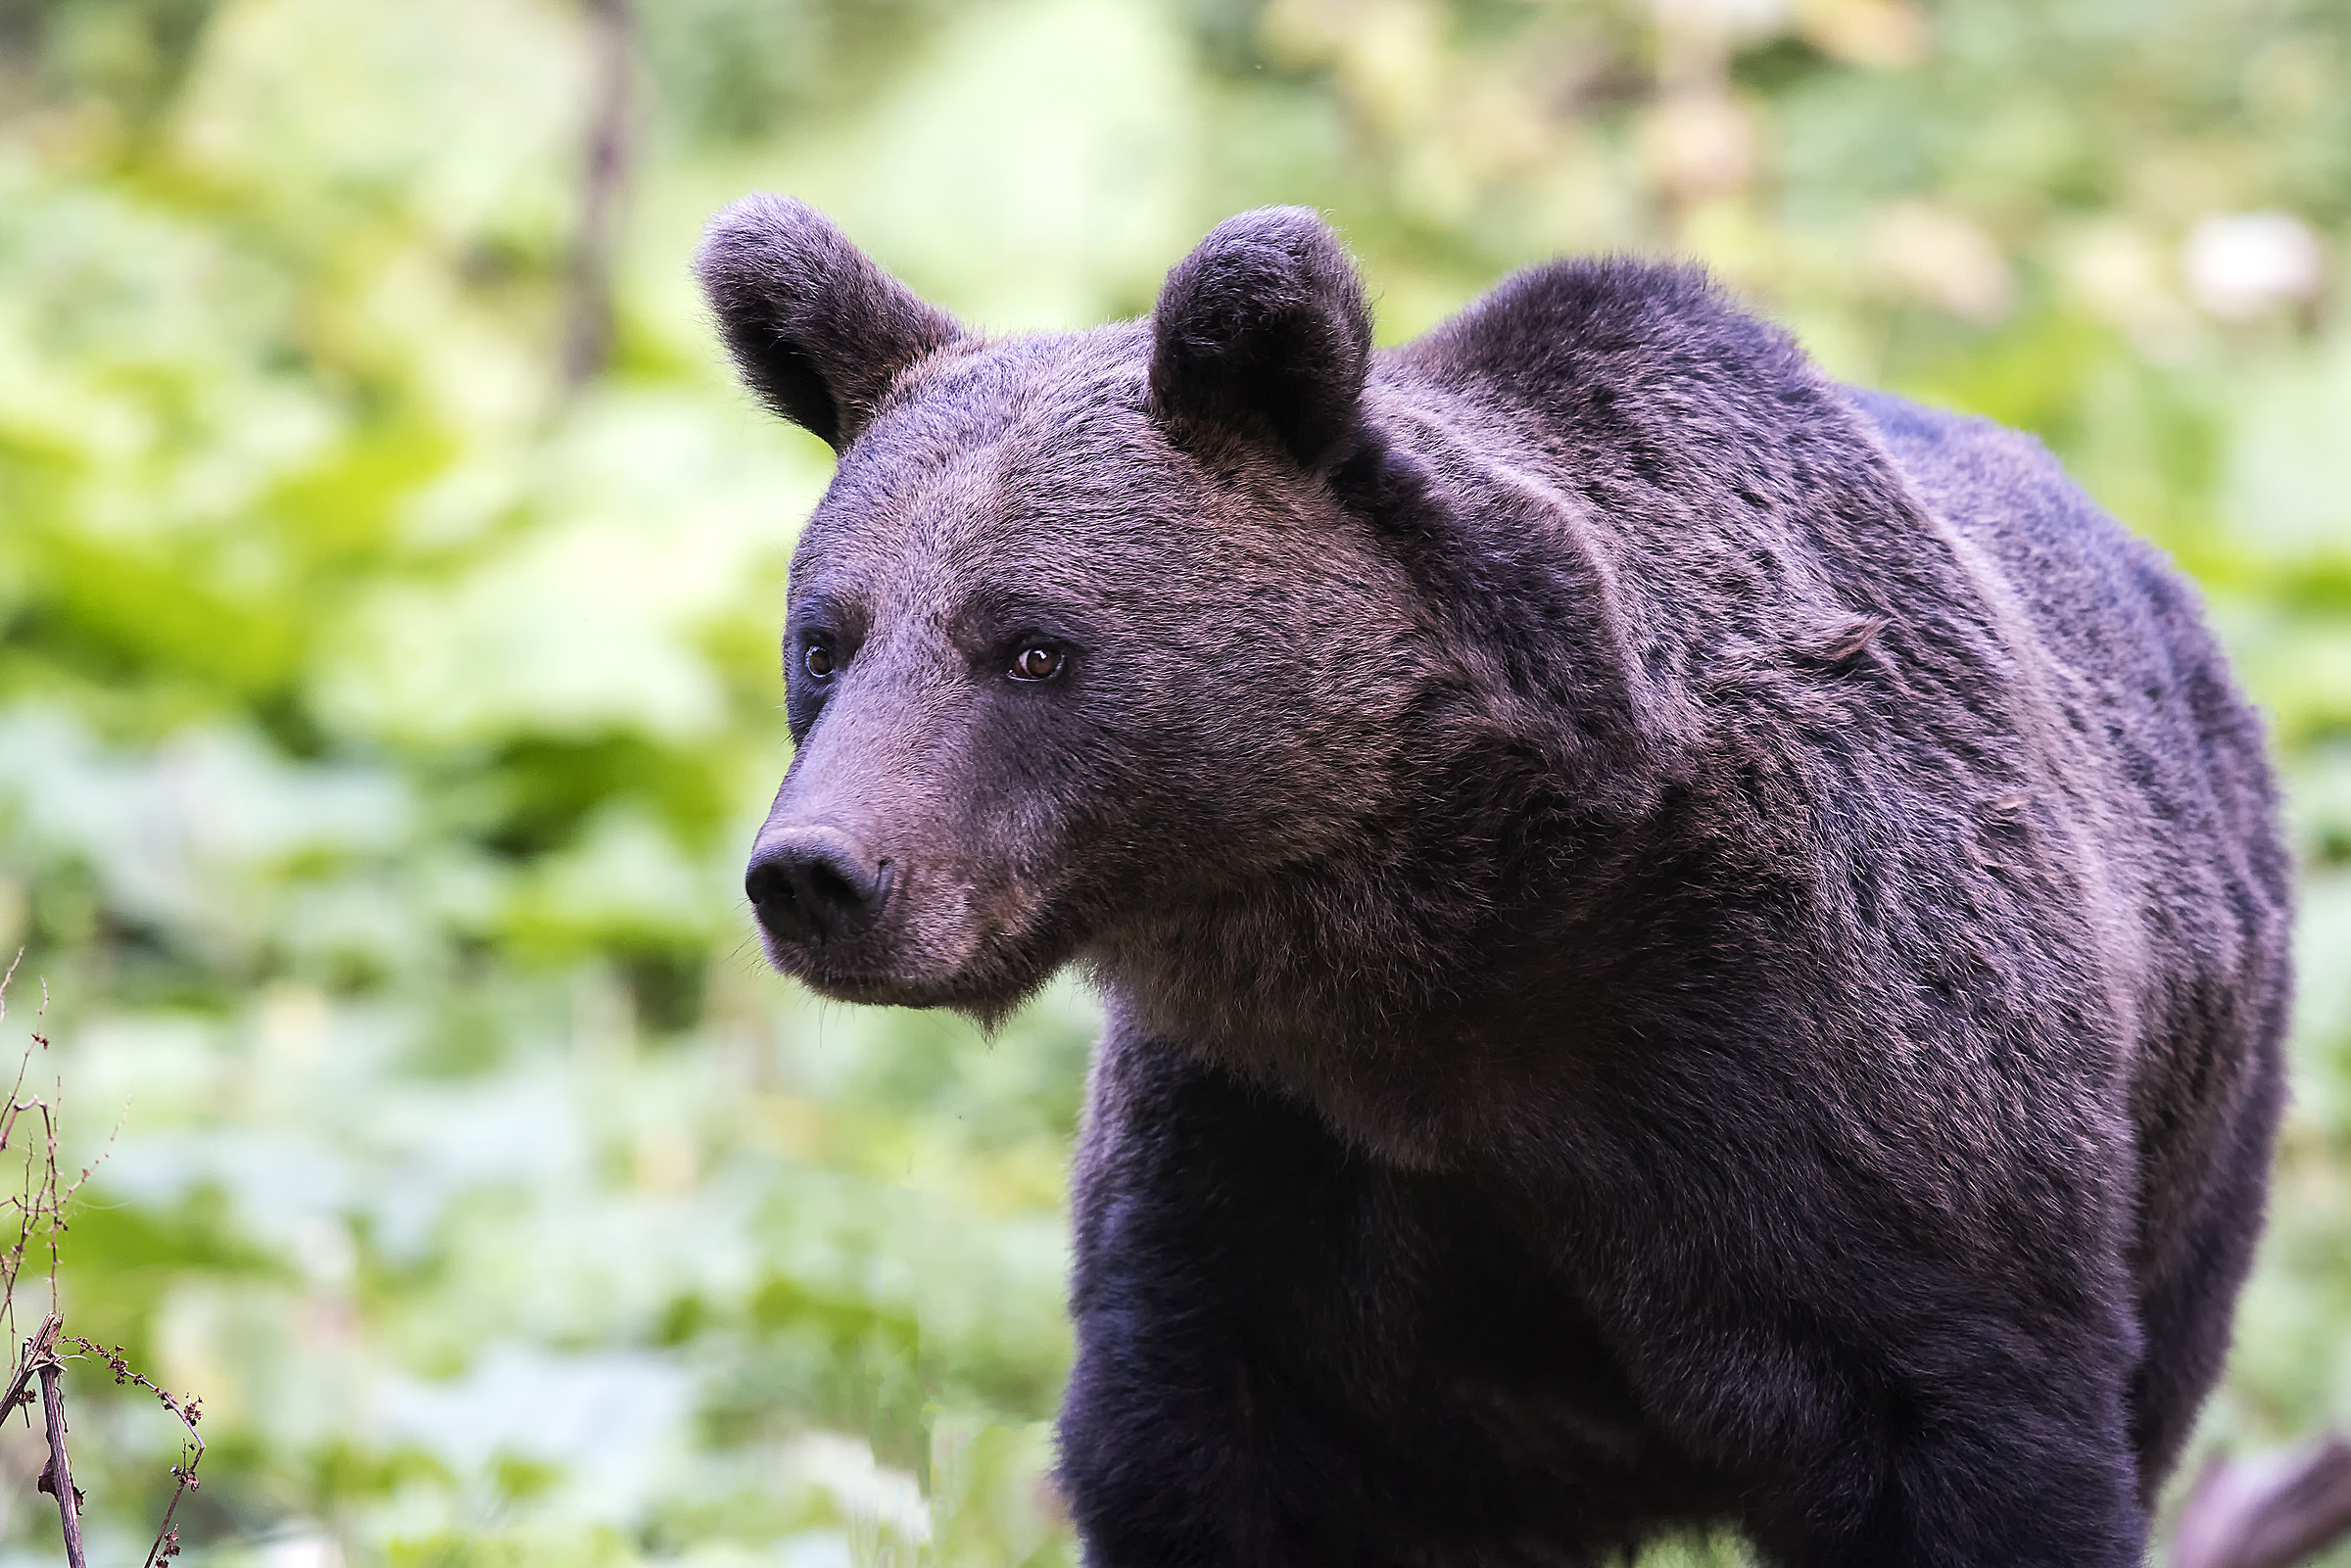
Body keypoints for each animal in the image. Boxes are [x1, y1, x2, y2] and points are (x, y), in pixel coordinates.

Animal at [697, 197, 2292, 1567]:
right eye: (826, 637)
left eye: (1031, 643)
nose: (819, 875)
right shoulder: (1267, 1165)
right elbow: (1198, 1441)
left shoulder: (1853, 1080)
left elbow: (1974, 1432)